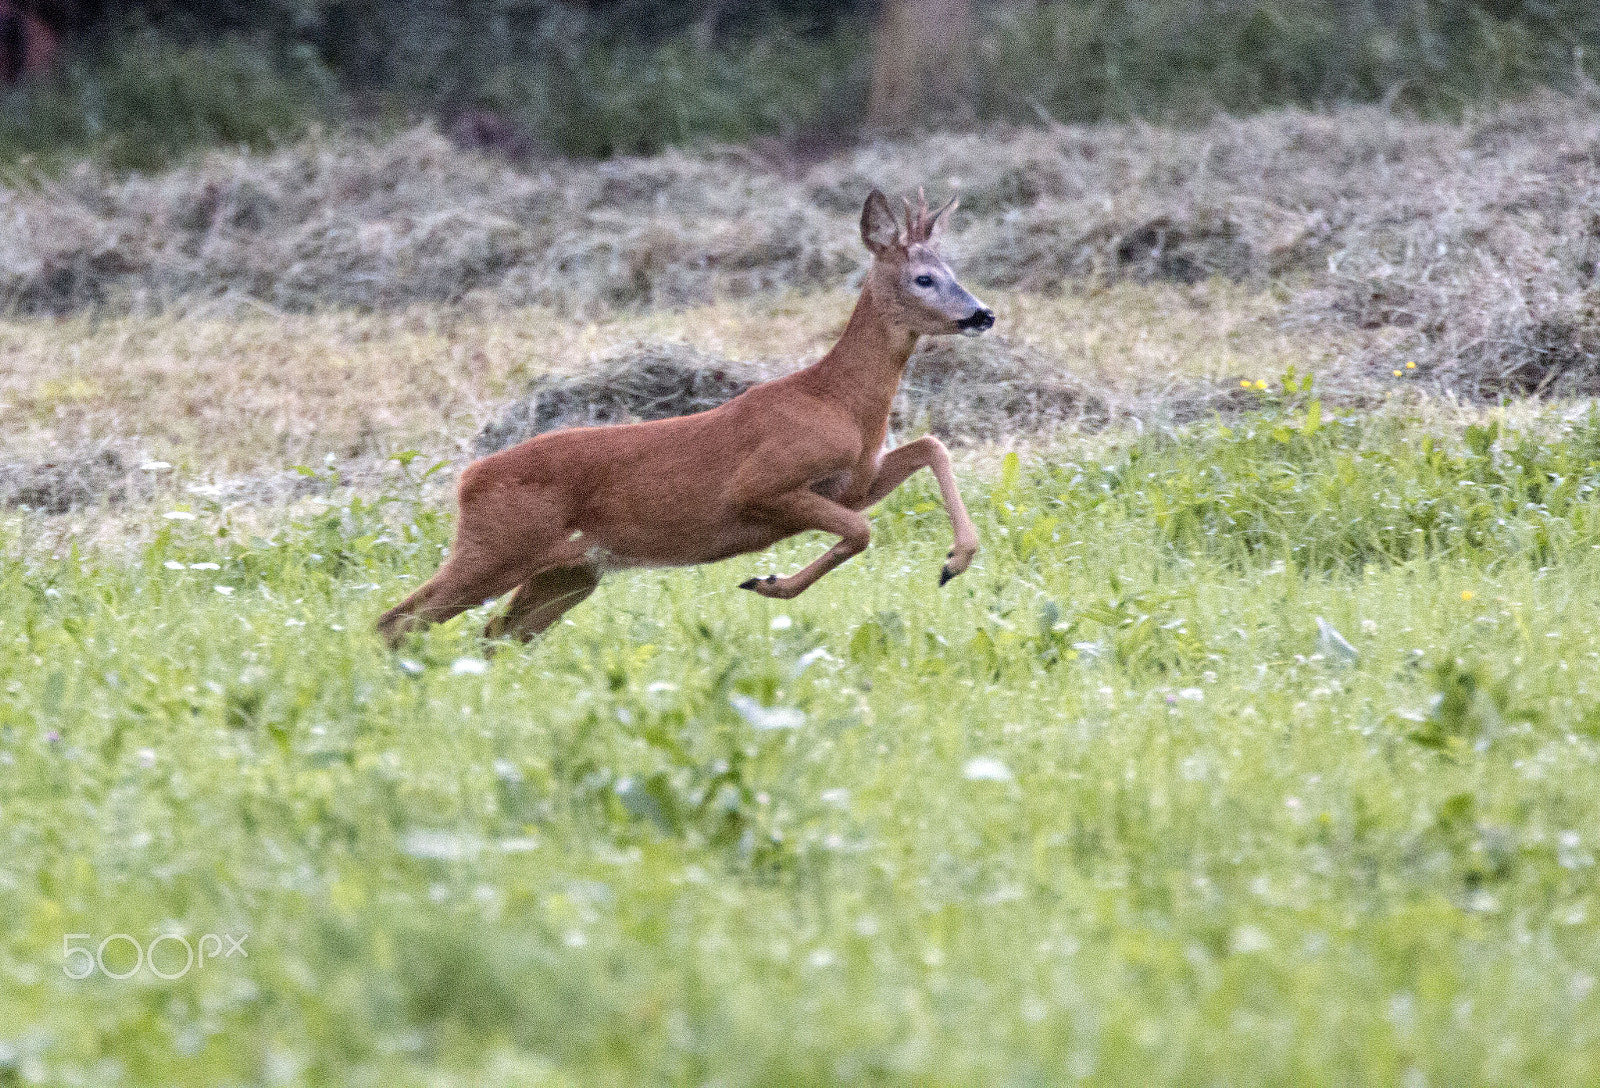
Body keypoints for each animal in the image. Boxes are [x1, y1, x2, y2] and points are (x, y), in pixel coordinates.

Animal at [379, 188, 992, 649]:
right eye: (924, 279)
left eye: (953, 269)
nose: (982, 314)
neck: (839, 402)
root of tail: (468, 479)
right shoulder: (761, 484)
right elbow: (862, 532)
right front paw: (766, 582)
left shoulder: (856, 483)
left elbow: (930, 447)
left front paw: (955, 560)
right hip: (496, 547)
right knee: (396, 620)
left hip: (570, 572)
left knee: (494, 633)